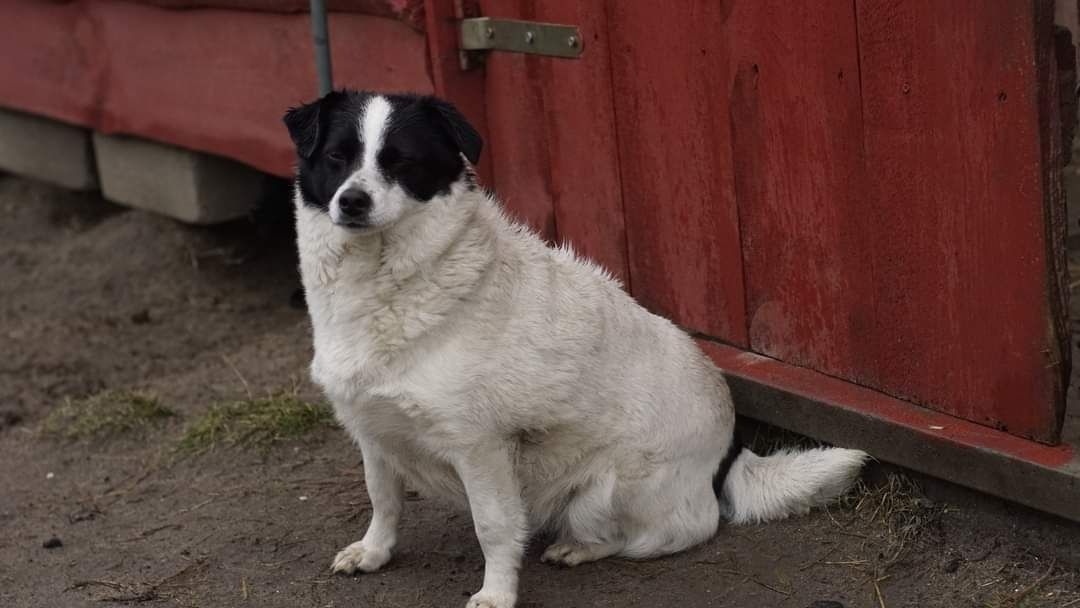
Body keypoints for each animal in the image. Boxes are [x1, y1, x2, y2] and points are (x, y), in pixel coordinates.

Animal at [280, 91, 868, 608]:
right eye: (337, 157)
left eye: (401, 161)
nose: (351, 201)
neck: (389, 281)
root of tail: (732, 448)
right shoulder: (373, 430)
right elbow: (383, 500)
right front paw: (374, 553)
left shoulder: (479, 447)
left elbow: (494, 527)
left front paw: (497, 594)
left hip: (608, 491)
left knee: (675, 532)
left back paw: (579, 548)